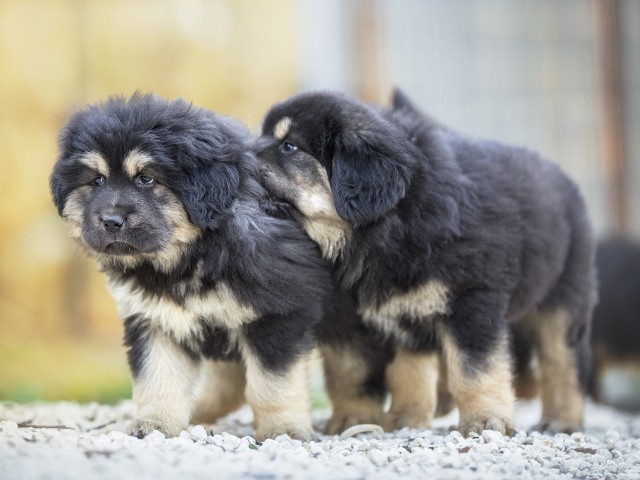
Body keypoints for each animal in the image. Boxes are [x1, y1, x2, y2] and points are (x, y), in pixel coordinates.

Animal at [50, 92, 336, 440]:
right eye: (96, 180)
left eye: (147, 178)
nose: (110, 221)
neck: (192, 256)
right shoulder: (154, 319)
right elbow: (158, 378)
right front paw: (154, 423)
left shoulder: (279, 312)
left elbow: (273, 384)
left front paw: (283, 430)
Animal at [255, 90, 600, 436]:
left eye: (289, 146)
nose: (246, 153)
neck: (395, 220)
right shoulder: (381, 313)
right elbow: (388, 373)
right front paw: (385, 420)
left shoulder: (472, 303)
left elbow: (475, 370)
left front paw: (485, 421)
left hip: (563, 300)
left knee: (563, 361)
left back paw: (563, 420)